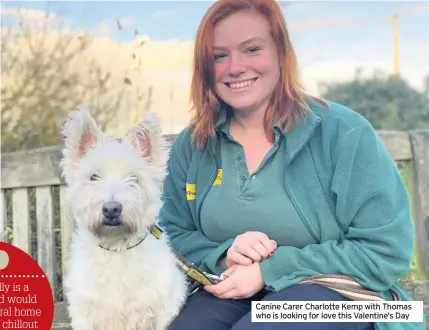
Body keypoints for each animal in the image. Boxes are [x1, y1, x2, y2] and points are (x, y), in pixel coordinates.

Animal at [59, 109, 186, 330]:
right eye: (93, 177)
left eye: (134, 178)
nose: (111, 209)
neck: (117, 249)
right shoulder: (85, 313)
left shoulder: (162, 311)